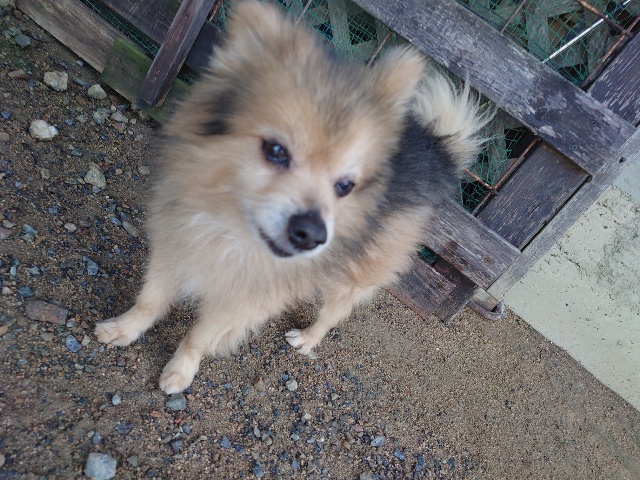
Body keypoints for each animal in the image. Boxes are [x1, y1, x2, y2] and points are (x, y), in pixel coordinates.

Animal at [95, 0, 490, 394]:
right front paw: (124, 329)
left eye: (345, 186)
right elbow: (150, 301)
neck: (230, 233)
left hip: (359, 271)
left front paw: (181, 370)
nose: (311, 234)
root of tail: (435, 149)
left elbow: (199, 335)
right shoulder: (174, 248)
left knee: (335, 312)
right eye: (275, 151)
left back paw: (308, 337)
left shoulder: (244, 300)